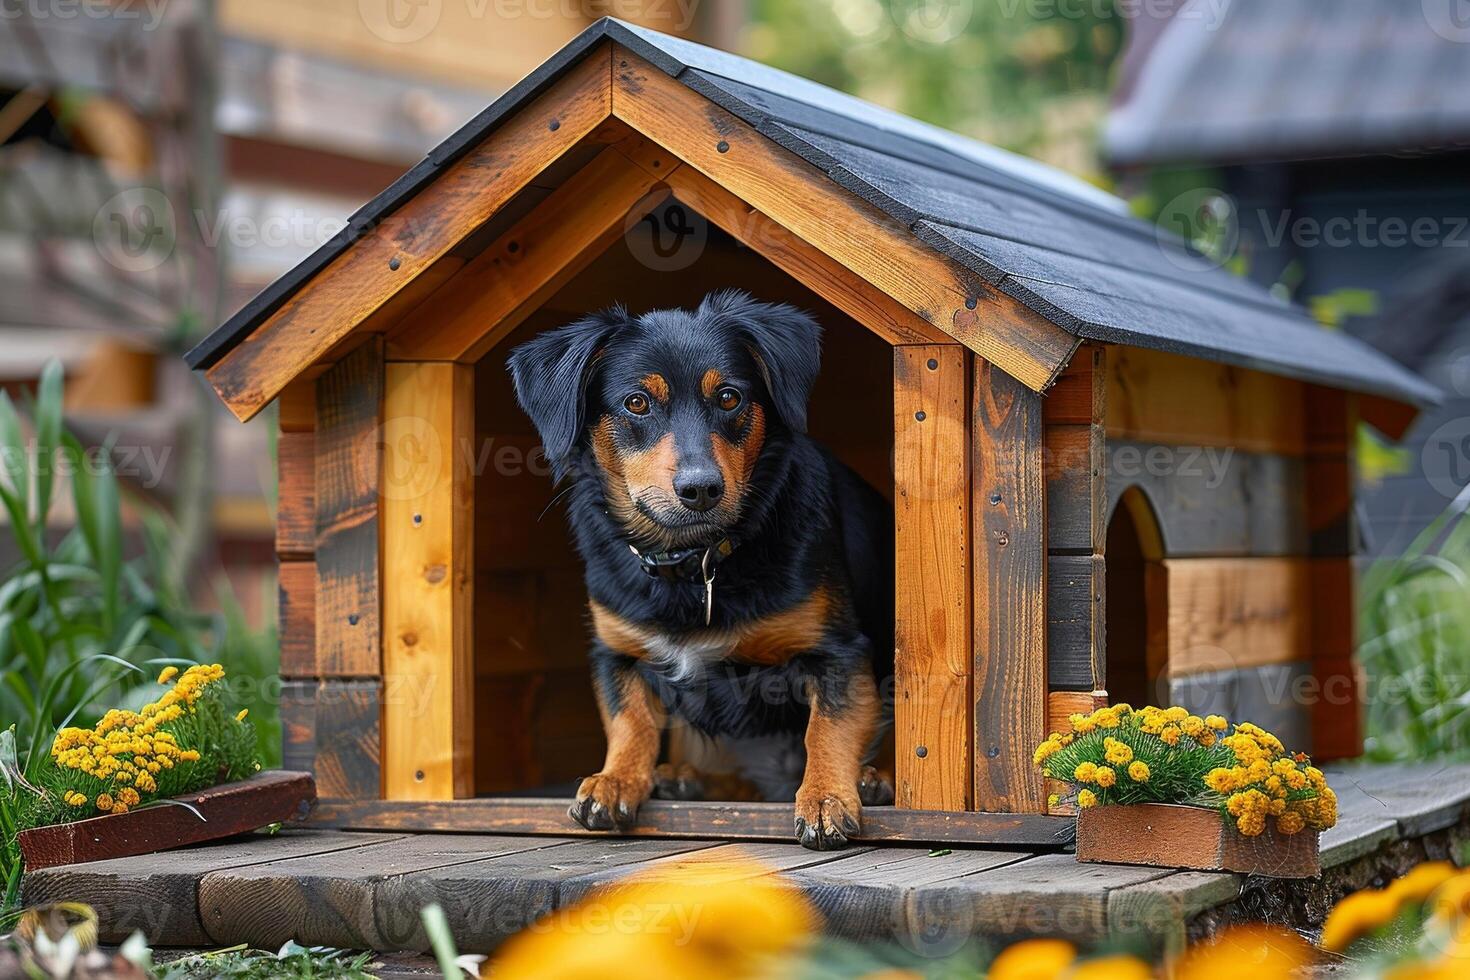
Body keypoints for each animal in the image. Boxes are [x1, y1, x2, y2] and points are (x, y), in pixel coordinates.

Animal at [505, 287, 893, 846]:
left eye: (729, 397)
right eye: (637, 403)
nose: (701, 488)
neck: (693, 560)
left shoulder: (840, 651)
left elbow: (828, 727)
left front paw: (825, 796)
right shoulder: (615, 652)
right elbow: (629, 721)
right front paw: (614, 780)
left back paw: (871, 781)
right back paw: (682, 780)